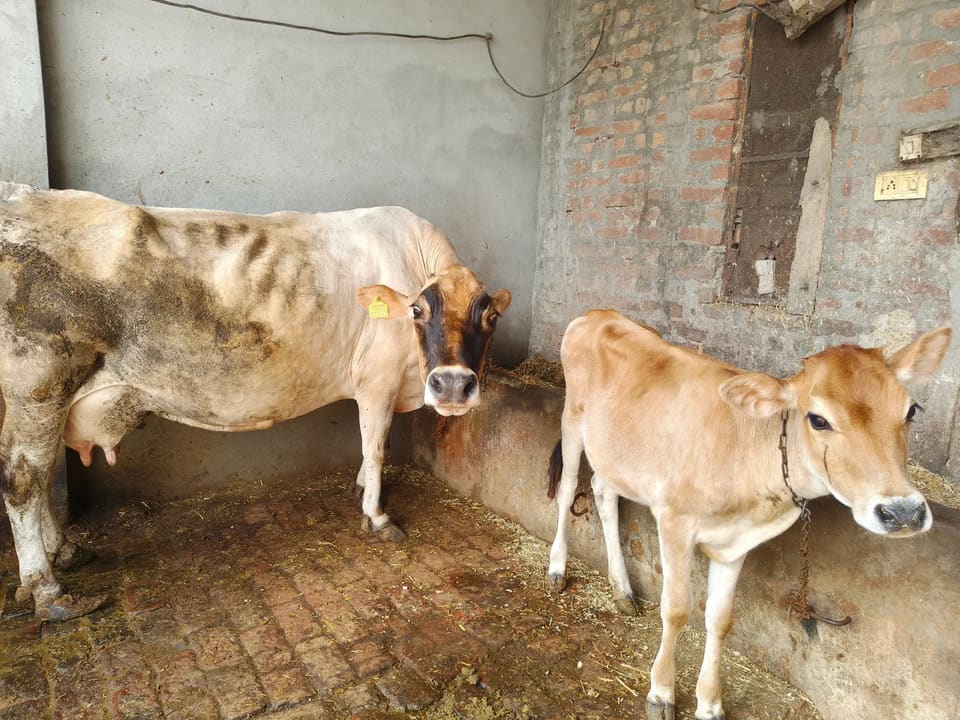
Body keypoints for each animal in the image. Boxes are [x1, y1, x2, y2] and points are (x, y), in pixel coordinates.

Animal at [0, 182, 510, 621]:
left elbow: (368, 449)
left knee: (42, 472)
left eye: (490, 317)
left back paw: (65, 552)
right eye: (418, 310)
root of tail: (21, 194)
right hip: (38, 387)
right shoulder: (378, 379)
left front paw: (362, 489)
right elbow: (377, 447)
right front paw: (377, 515)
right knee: (23, 478)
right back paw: (48, 591)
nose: (452, 385)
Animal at [546, 309, 950, 720]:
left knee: (603, 492)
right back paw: (558, 568)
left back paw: (622, 590)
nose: (903, 511)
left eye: (911, 410)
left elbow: (720, 619)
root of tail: (600, 314)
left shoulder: (736, 542)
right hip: (572, 420)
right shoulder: (674, 522)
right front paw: (661, 693)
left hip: (615, 457)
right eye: (818, 419)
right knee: (568, 489)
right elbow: (676, 609)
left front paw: (710, 702)